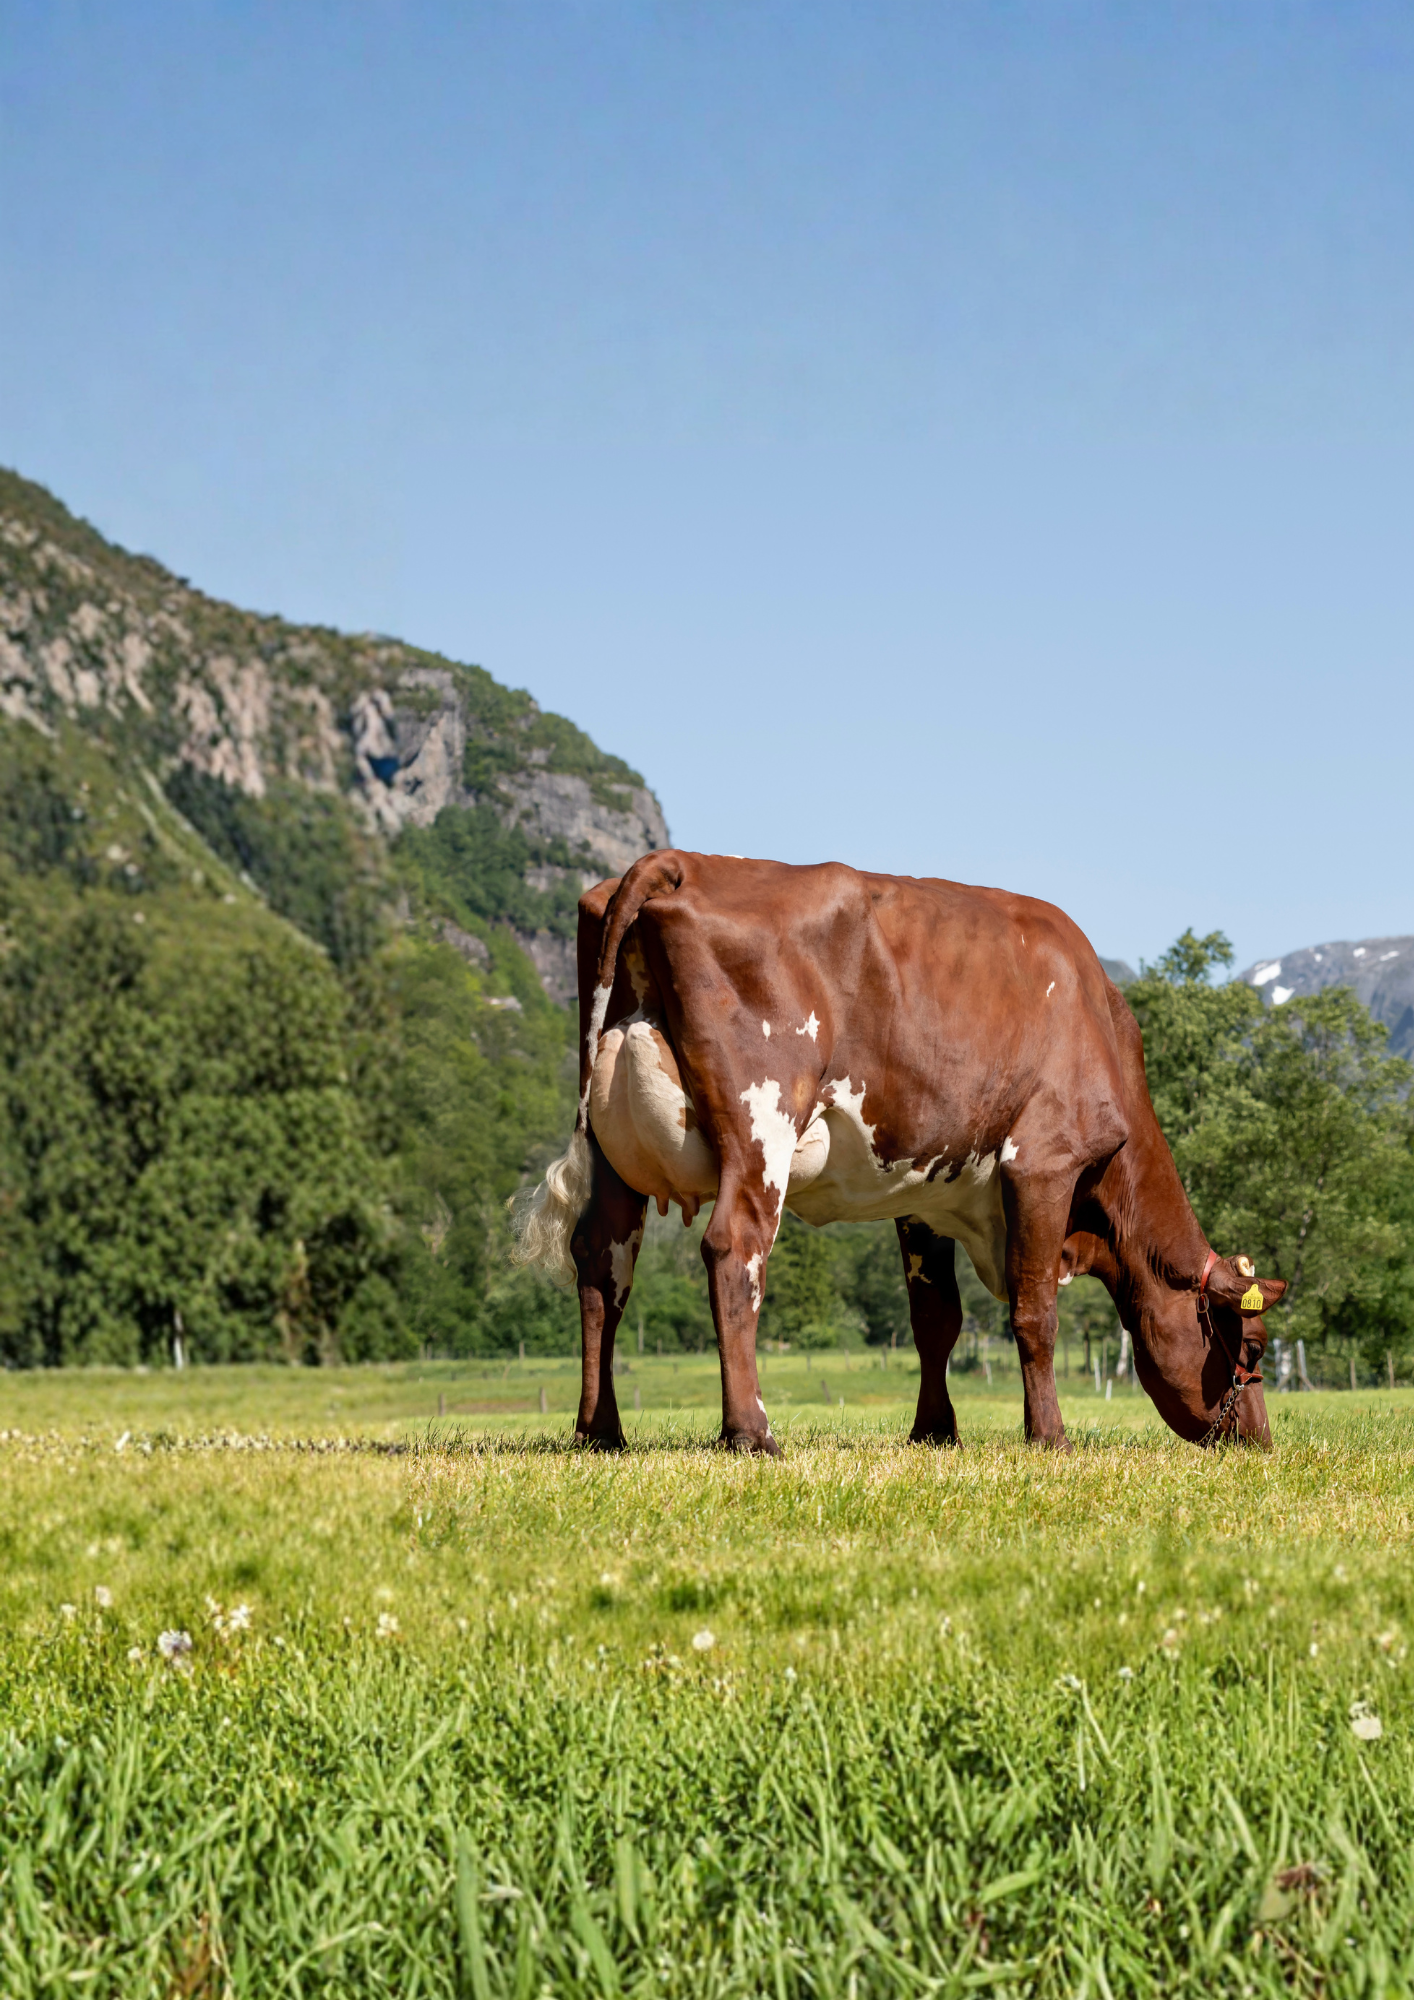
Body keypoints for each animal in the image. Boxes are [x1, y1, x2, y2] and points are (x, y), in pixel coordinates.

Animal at [511, 850, 1284, 1454]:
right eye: (1251, 1349)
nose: (1259, 1441)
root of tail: (683, 861)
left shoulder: (926, 1189)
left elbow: (935, 1320)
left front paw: (935, 1431)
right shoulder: (1043, 1163)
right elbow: (1034, 1312)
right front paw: (1049, 1436)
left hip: (610, 1151)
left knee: (602, 1266)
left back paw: (601, 1431)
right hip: (763, 1124)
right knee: (734, 1249)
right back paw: (751, 1432)